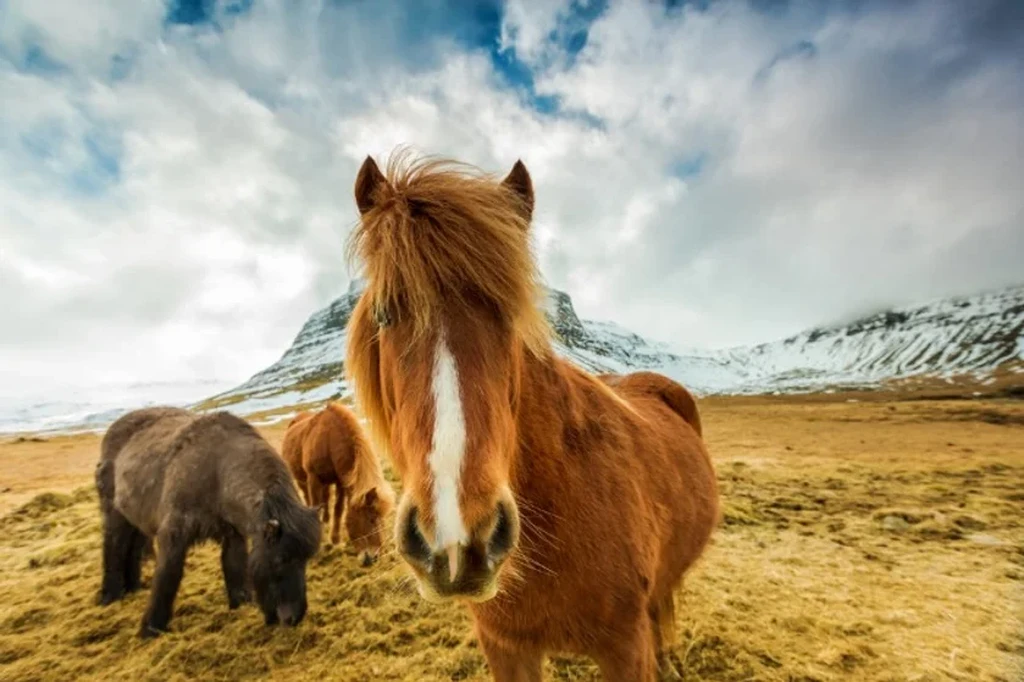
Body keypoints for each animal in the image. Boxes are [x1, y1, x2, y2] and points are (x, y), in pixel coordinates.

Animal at [95, 406, 321, 638]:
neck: (217, 471)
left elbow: (235, 568)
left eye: (306, 559)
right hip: (115, 516)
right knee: (114, 547)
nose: (294, 618)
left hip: (137, 522)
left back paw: (133, 588)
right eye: (280, 560)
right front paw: (150, 629)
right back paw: (110, 596)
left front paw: (240, 606)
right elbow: (168, 577)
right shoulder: (173, 535)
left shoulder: (233, 535)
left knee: (132, 550)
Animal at [280, 401, 395, 566]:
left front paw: (335, 541)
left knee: (326, 500)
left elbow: (338, 509)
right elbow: (317, 507)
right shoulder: (313, 478)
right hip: (303, 481)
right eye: (371, 519)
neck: (328, 440)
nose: (373, 558)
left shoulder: (341, 482)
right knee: (309, 499)